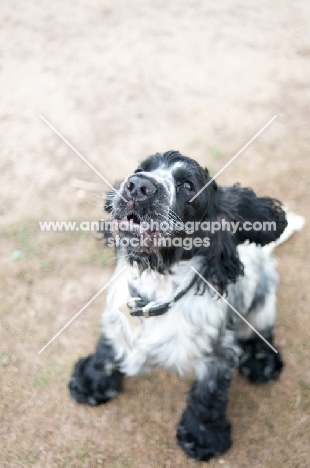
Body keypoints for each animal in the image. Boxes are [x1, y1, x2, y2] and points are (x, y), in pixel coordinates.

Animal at [69, 150, 302, 460]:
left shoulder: (217, 352)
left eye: (188, 186)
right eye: (139, 169)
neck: (156, 291)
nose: (137, 186)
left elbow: (208, 395)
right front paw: (92, 380)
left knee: (261, 331)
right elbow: (107, 348)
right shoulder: (117, 316)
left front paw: (203, 436)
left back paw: (261, 361)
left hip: (263, 296)